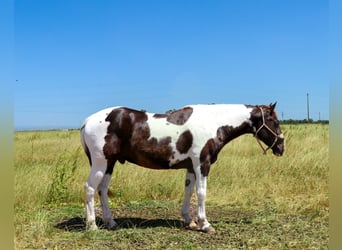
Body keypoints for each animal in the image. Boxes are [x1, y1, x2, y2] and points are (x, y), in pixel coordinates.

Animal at [79, 101, 284, 232]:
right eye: (273, 121)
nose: (281, 147)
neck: (214, 122)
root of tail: (87, 121)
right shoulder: (202, 164)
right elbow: (201, 193)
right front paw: (205, 224)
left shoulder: (191, 167)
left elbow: (188, 191)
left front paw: (189, 220)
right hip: (101, 163)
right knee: (90, 188)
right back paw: (92, 225)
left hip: (109, 163)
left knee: (103, 189)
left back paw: (110, 222)